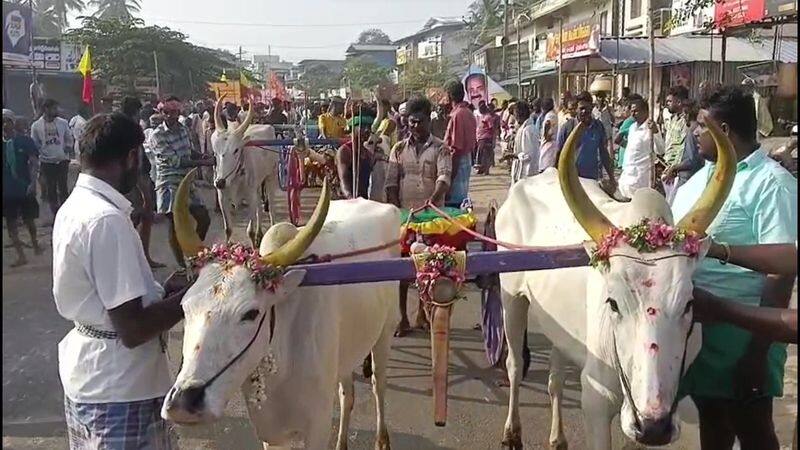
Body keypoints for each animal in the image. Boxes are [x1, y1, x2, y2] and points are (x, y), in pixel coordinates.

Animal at [496, 114, 736, 448]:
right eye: (613, 303)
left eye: (689, 304)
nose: (652, 427)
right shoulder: (595, 400)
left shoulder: (686, 409)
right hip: (510, 297)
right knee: (515, 366)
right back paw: (511, 431)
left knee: (556, 379)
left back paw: (557, 437)